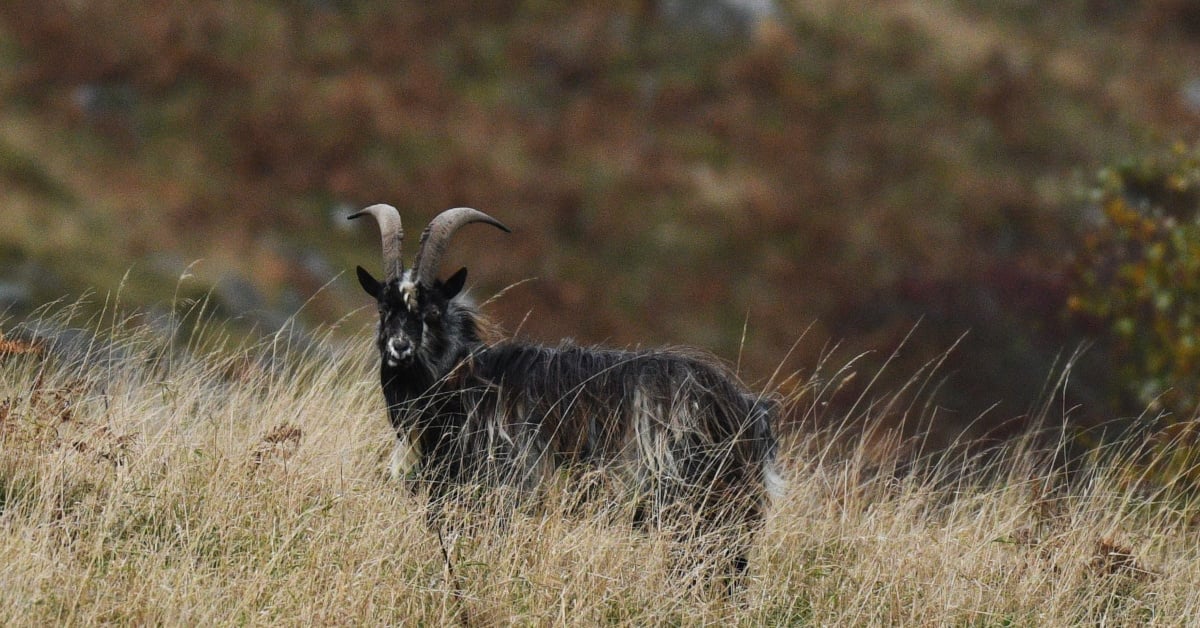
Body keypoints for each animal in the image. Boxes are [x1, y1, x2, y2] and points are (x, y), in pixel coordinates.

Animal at [349, 204, 782, 580]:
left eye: (433, 311)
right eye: (383, 309)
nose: (399, 348)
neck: (466, 383)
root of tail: (748, 410)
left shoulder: (504, 492)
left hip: (701, 509)